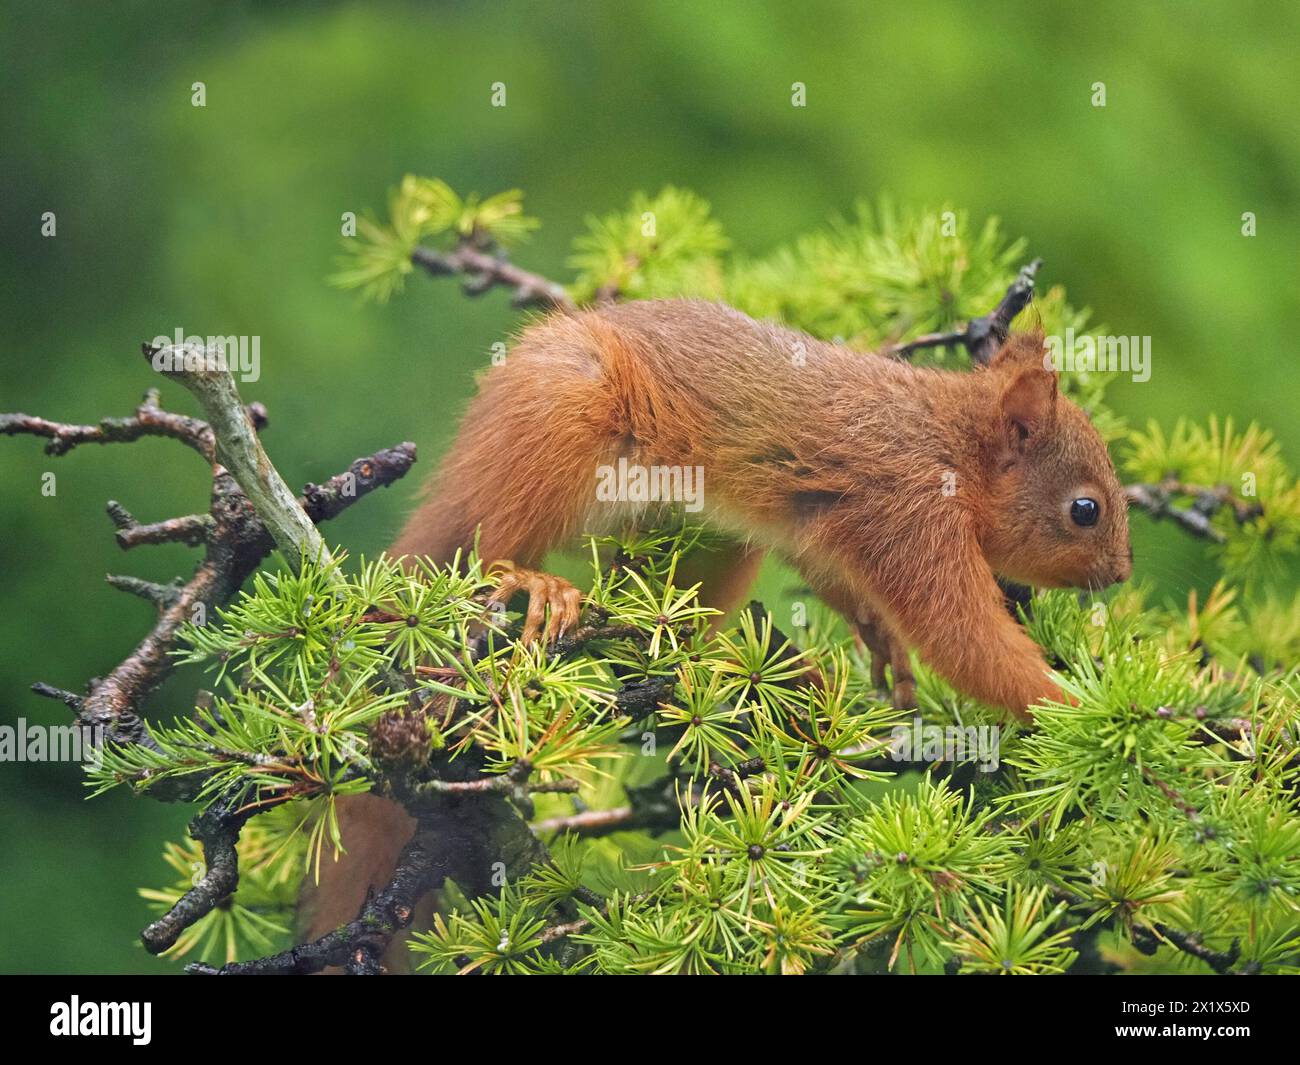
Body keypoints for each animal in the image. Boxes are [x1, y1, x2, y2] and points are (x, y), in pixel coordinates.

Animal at [302, 297, 1132, 949]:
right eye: (1085, 509)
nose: (1121, 574)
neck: (950, 440)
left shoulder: (830, 533)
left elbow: (857, 592)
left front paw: (883, 644)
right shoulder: (909, 507)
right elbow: (966, 641)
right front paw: (1090, 710)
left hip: (712, 540)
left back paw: (726, 669)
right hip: (559, 425)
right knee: (487, 545)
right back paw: (535, 583)